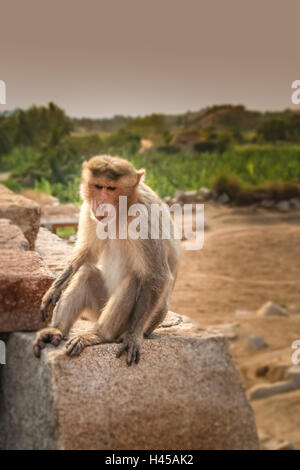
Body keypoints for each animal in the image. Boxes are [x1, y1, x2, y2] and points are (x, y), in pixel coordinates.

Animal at [34, 154, 182, 364]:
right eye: (98, 186)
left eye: (111, 188)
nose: (100, 202)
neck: (124, 207)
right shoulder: (88, 210)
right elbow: (88, 252)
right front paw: (54, 289)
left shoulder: (144, 218)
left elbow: (156, 276)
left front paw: (133, 337)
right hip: (98, 308)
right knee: (86, 272)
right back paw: (56, 330)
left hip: (144, 322)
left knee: (135, 279)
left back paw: (100, 335)